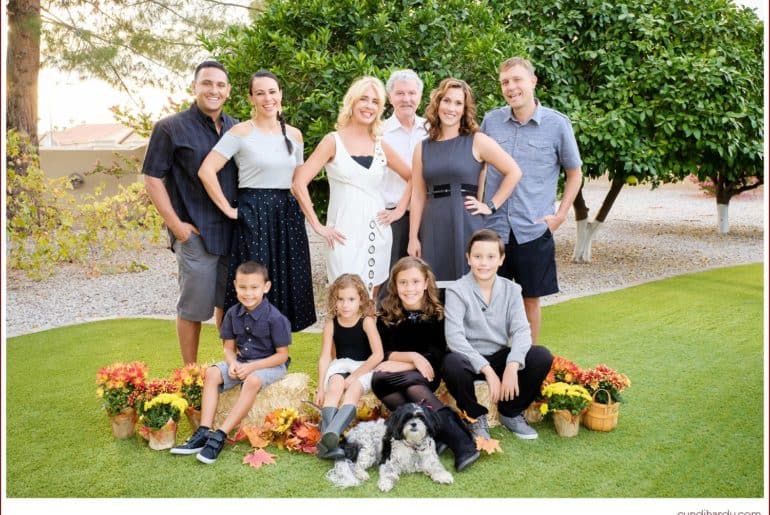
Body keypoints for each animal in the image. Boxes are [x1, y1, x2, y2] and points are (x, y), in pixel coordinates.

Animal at [322, 404, 452, 492]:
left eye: (422, 418)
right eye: (406, 418)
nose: (414, 424)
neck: (413, 445)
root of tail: (346, 437)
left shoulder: (430, 459)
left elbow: (437, 467)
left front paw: (444, 476)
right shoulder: (389, 461)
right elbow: (388, 473)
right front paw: (385, 483)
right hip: (368, 449)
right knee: (354, 465)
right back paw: (362, 474)